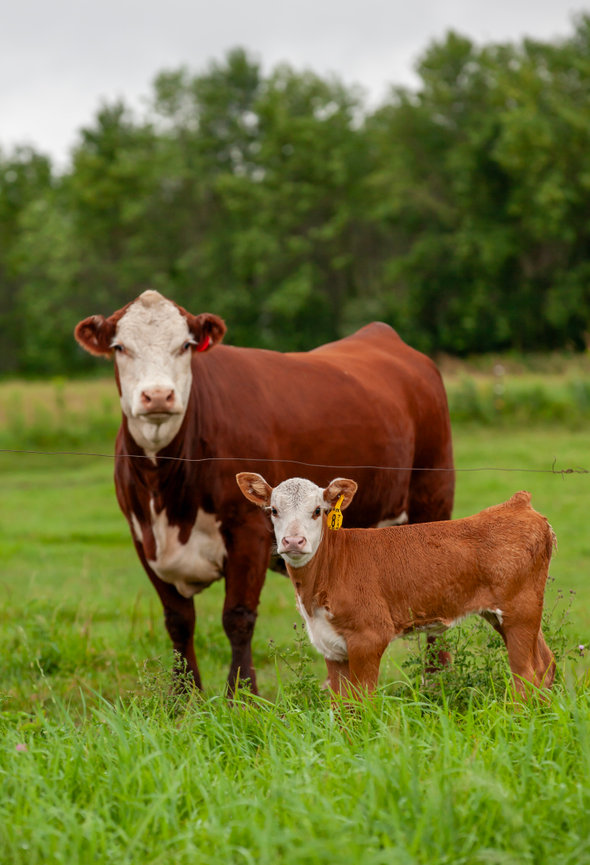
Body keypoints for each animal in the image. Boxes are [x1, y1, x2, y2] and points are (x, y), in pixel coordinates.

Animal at [74, 289, 454, 694]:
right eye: (119, 347)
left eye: (186, 345)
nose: (158, 396)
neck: (166, 492)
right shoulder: (143, 538)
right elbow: (178, 622)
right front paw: (183, 698)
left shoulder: (248, 532)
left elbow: (237, 618)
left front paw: (242, 695)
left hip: (432, 497)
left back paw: (439, 681)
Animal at [236, 473, 556, 700]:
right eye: (273, 510)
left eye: (318, 510)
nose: (293, 541)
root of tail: (517, 504)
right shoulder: (332, 647)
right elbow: (341, 706)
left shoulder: (369, 637)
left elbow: (362, 702)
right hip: (506, 615)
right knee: (545, 663)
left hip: (520, 610)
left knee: (526, 676)